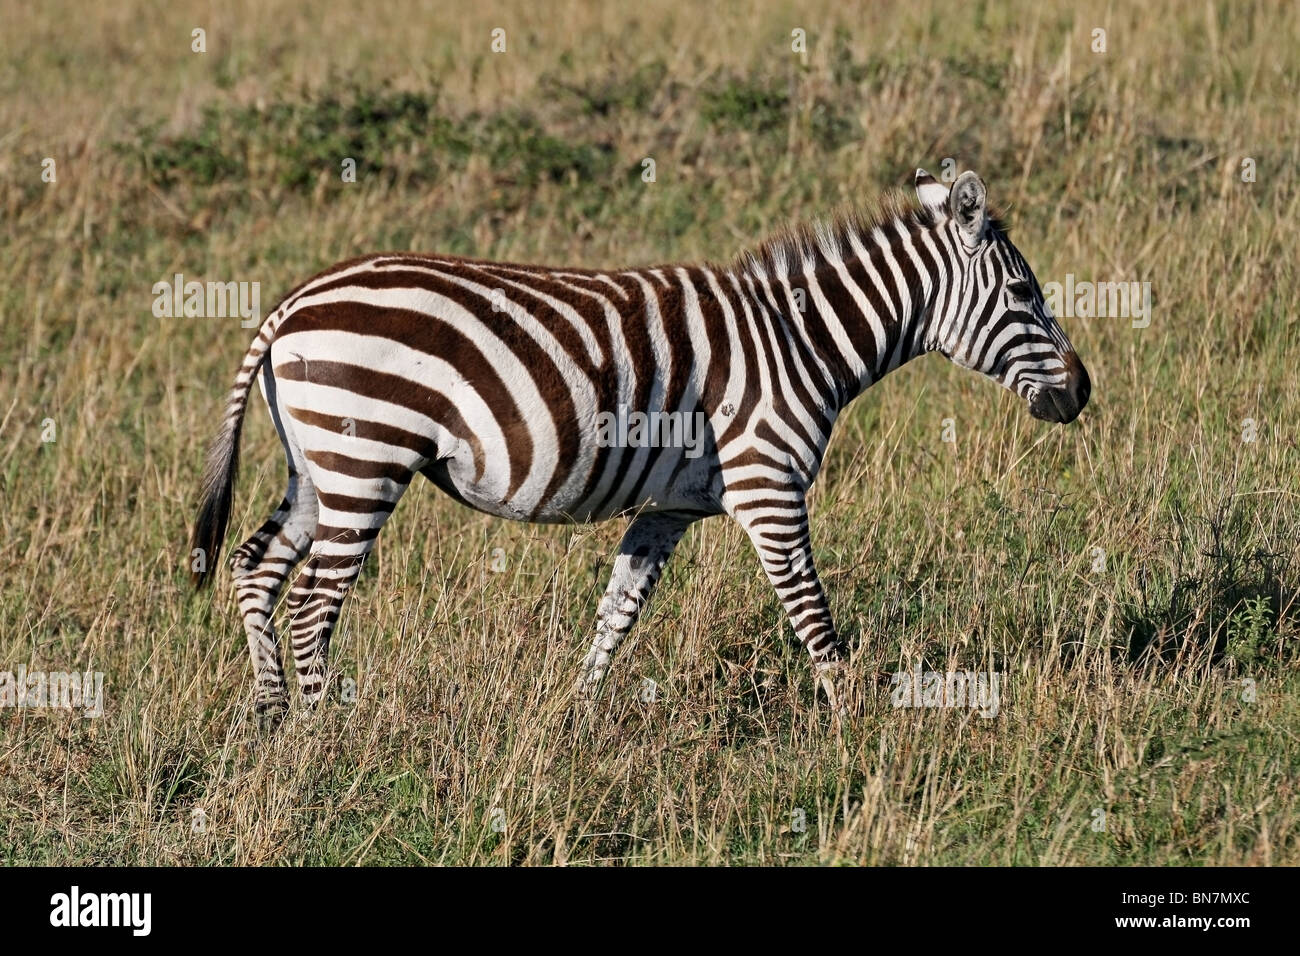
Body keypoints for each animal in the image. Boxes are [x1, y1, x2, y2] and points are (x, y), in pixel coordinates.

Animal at [191, 169, 1090, 719]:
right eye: (1024, 293)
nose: (1081, 392)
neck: (801, 340)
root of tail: (294, 301)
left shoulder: (667, 509)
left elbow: (618, 613)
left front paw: (574, 720)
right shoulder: (769, 488)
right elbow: (811, 613)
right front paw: (857, 728)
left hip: (319, 468)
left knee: (257, 568)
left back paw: (272, 718)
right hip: (365, 459)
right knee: (313, 605)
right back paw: (322, 735)